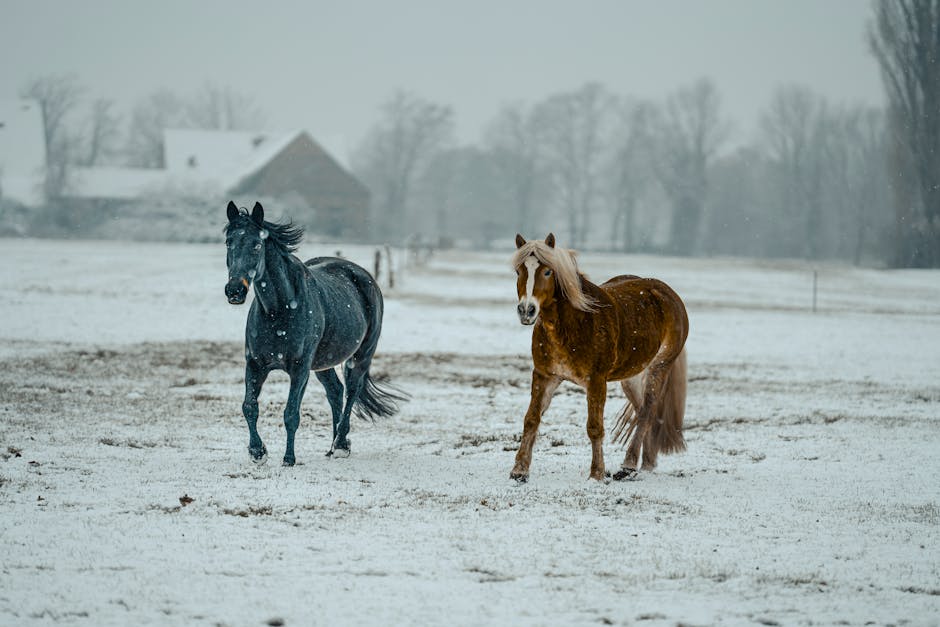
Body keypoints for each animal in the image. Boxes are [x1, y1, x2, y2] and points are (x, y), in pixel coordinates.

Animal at [228, 202, 408, 466]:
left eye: (257, 244)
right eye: (229, 242)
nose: (234, 291)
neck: (277, 311)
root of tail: (363, 275)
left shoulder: (299, 368)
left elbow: (291, 413)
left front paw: (289, 458)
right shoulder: (255, 364)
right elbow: (249, 406)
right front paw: (257, 452)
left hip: (361, 356)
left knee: (351, 391)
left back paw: (341, 445)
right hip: (324, 363)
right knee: (336, 391)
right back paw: (333, 447)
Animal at [510, 233, 688, 484]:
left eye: (547, 272)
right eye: (519, 271)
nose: (526, 311)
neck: (572, 323)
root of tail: (668, 294)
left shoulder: (596, 381)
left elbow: (594, 427)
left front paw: (596, 474)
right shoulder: (545, 376)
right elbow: (531, 419)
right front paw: (519, 471)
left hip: (659, 367)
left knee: (647, 411)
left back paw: (628, 466)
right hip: (632, 376)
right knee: (643, 410)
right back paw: (647, 464)